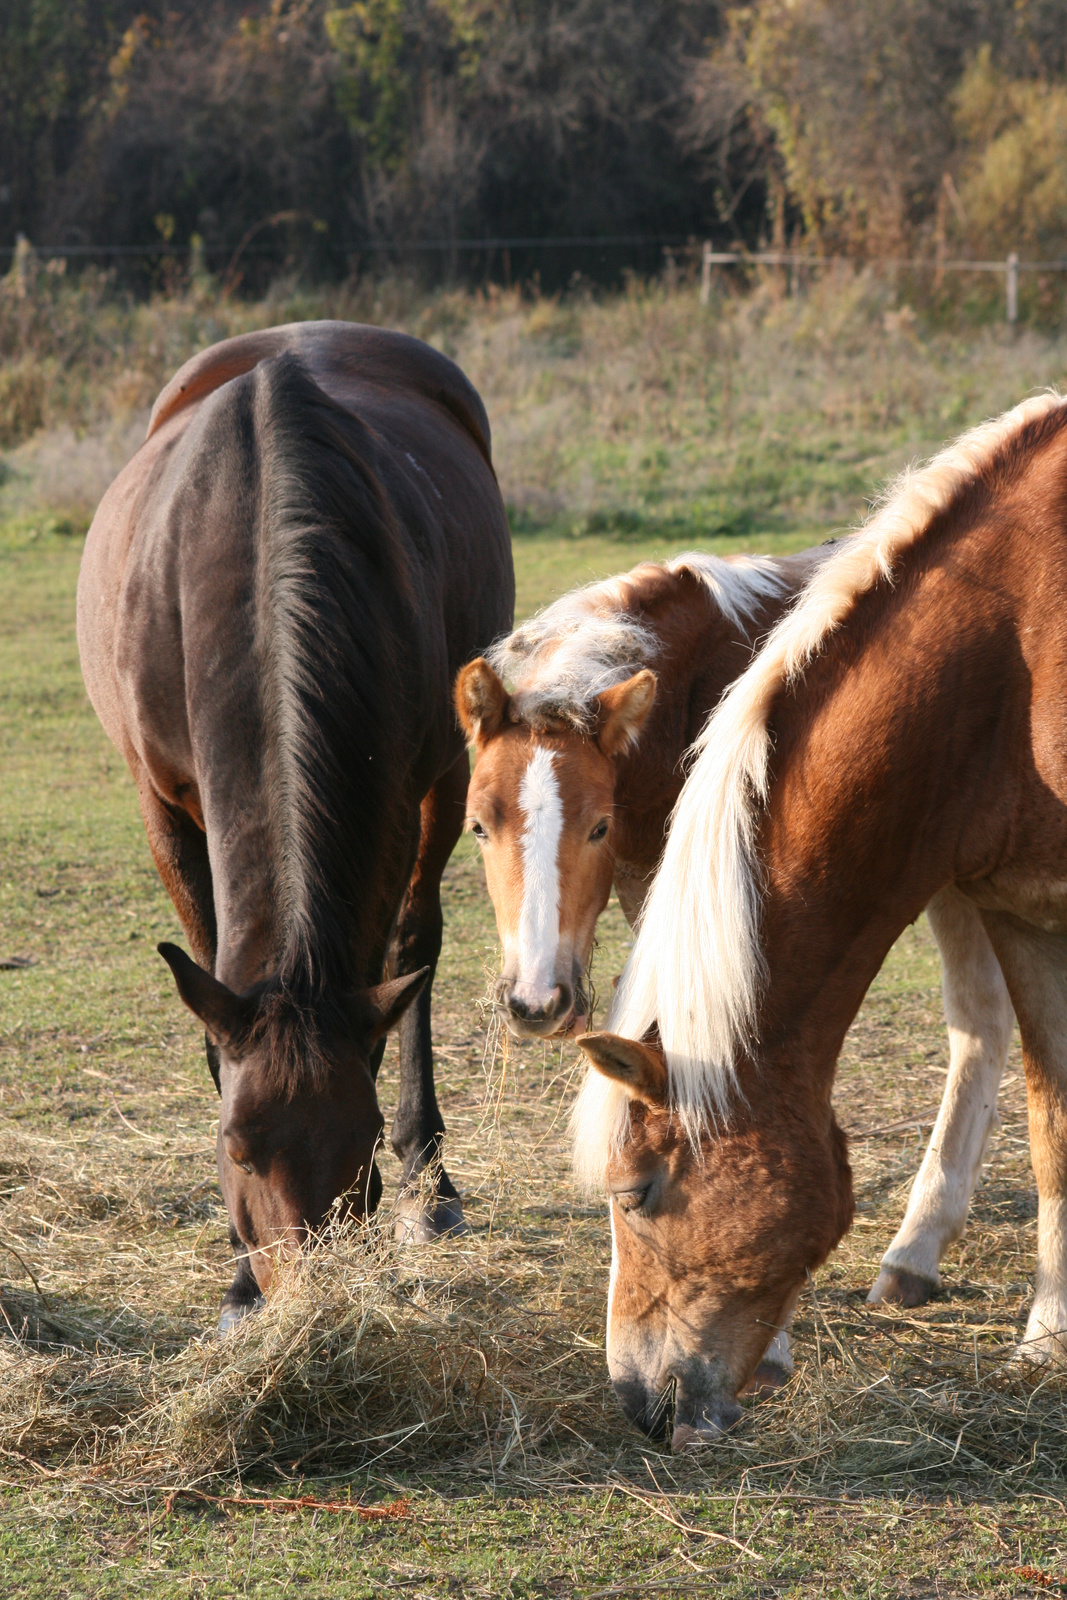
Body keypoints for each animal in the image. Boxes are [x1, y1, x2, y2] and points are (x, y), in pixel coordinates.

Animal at [78, 318, 511, 1331]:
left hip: (448, 772)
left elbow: (387, 966)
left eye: (359, 1144)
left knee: (414, 943)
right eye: (235, 1145)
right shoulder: (163, 805)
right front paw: (238, 1280)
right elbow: (211, 990)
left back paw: (432, 1180)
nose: (299, 1291)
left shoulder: (395, 793)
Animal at [457, 544, 1017, 1382]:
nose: (535, 1001)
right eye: (477, 825)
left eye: (597, 826)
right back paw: (914, 1255)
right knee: (980, 1025)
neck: (692, 685)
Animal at [572, 387, 1067, 1452]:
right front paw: (1051, 1337)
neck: (1015, 639)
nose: (638, 1402)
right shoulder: (1023, 913)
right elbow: (1054, 1124)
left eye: (636, 1195)